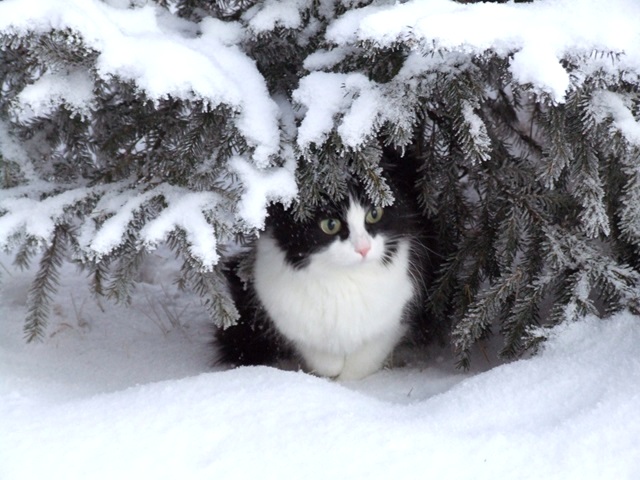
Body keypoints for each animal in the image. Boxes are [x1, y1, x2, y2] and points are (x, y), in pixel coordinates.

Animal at [216, 160, 436, 378]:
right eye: (330, 225)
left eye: (374, 214)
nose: (364, 248)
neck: (345, 280)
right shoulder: (289, 321)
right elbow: (325, 361)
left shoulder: (396, 317)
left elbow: (360, 363)